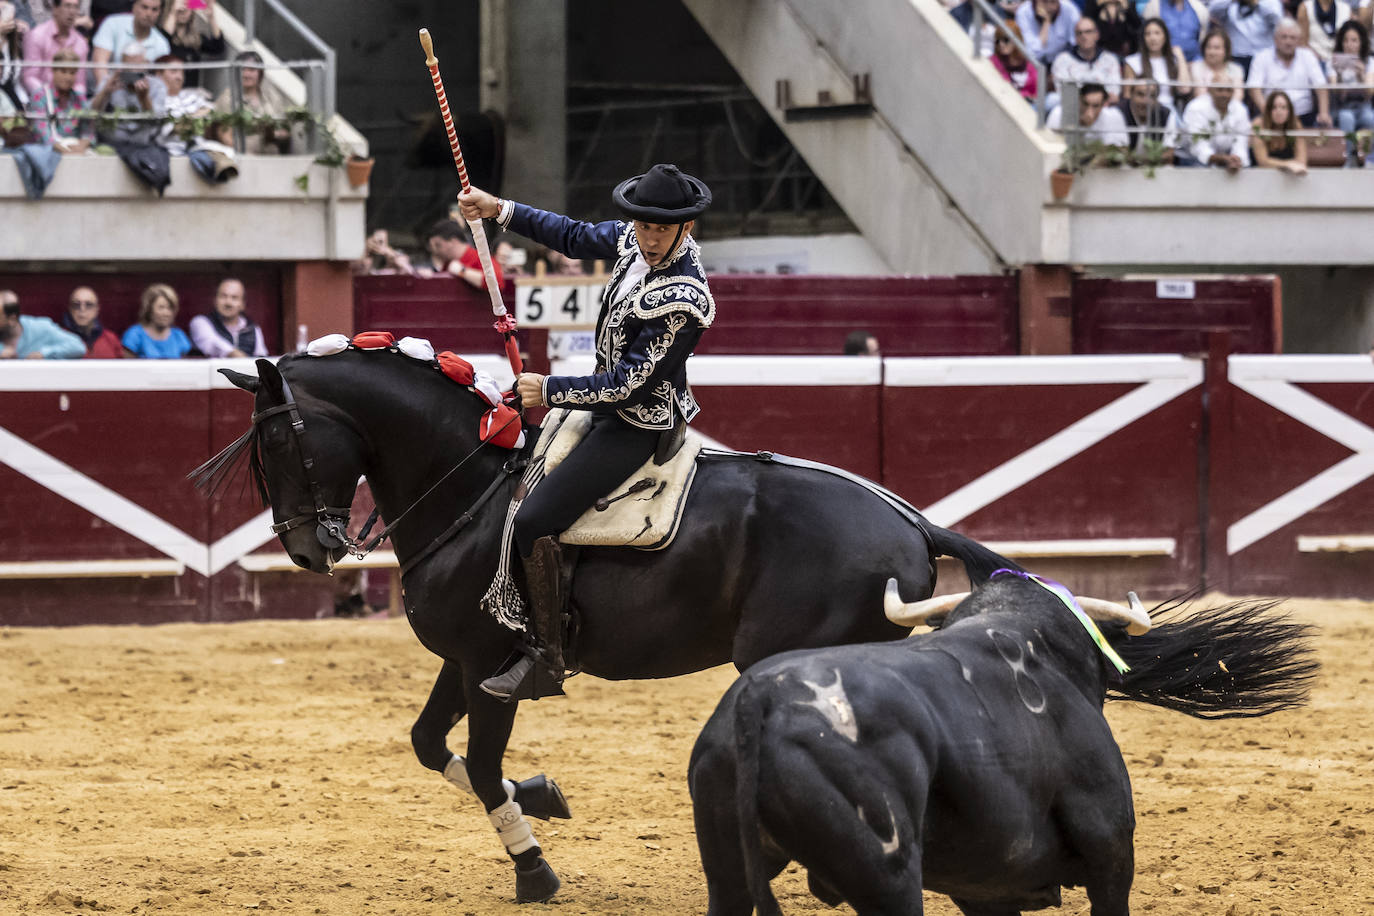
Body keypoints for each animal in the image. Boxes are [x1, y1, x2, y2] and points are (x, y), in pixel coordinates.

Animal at [199, 347, 1027, 906]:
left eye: (277, 441)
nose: (306, 550)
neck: (471, 491)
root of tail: (913, 524)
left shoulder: (491, 666)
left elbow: (482, 762)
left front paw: (534, 868)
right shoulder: (463, 663)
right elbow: (433, 745)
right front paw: (542, 795)